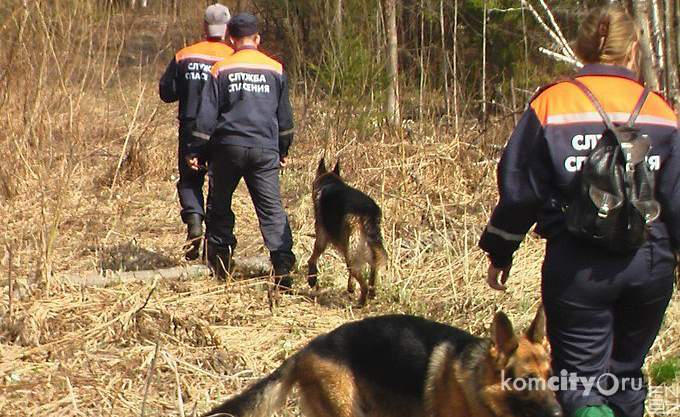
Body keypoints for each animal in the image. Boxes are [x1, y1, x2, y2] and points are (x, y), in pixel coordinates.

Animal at [308, 158, 388, 304]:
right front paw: (351, 286)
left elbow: (312, 258)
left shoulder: (321, 237)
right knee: (373, 271)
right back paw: (371, 293)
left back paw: (361, 303)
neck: (330, 183)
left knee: (364, 284)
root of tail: (368, 211)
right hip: (366, 249)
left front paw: (312, 278)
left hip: (351, 254)